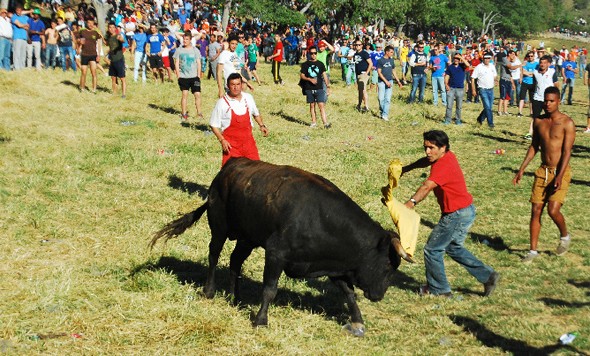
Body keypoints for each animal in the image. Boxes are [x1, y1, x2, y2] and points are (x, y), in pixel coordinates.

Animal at [153, 157, 412, 336]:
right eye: (388, 266)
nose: (379, 295)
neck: (320, 218)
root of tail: (227, 168)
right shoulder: (276, 254)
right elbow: (270, 289)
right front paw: (261, 320)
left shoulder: (332, 264)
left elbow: (348, 292)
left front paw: (358, 321)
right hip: (219, 225)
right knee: (214, 254)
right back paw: (209, 291)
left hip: (248, 238)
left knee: (235, 260)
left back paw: (235, 297)